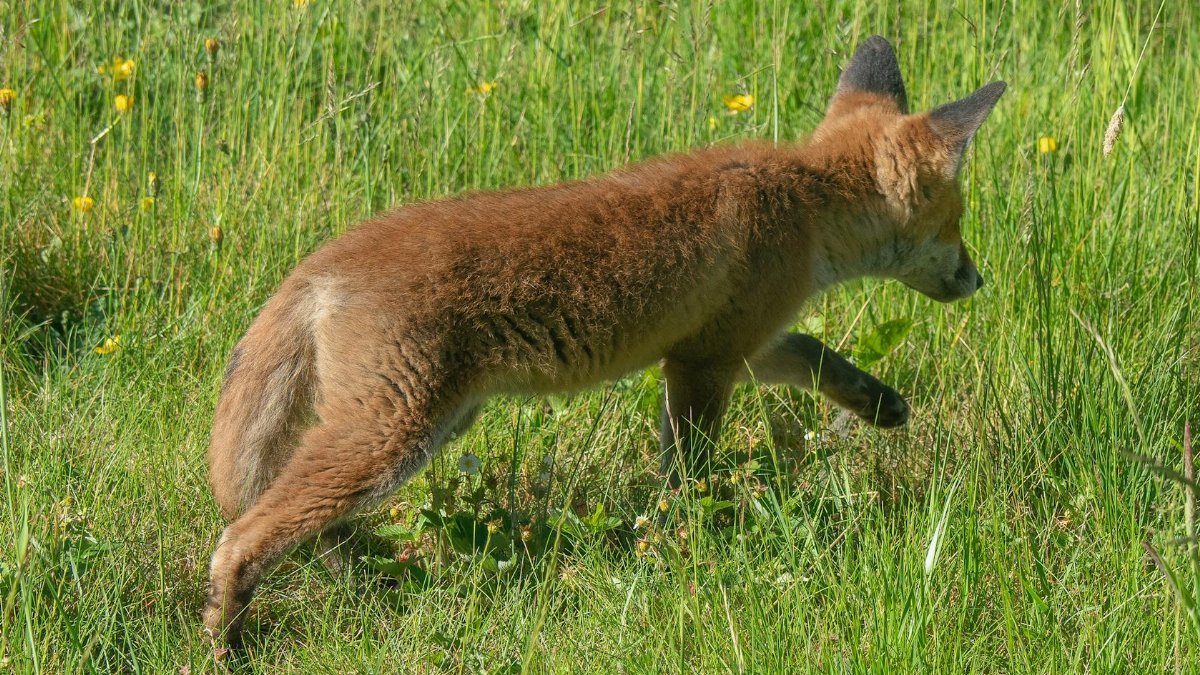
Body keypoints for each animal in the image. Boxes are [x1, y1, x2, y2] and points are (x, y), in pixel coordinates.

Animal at [202, 36, 1004, 642]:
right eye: (957, 224)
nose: (978, 278)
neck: (805, 200)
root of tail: (319, 264)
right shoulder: (702, 361)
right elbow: (689, 475)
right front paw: (694, 544)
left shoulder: (734, 340)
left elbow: (814, 354)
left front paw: (878, 403)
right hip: (393, 436)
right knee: (244, 534)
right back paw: (227, 636)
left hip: (423, 428)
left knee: (288, 513)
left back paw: (362, 577)